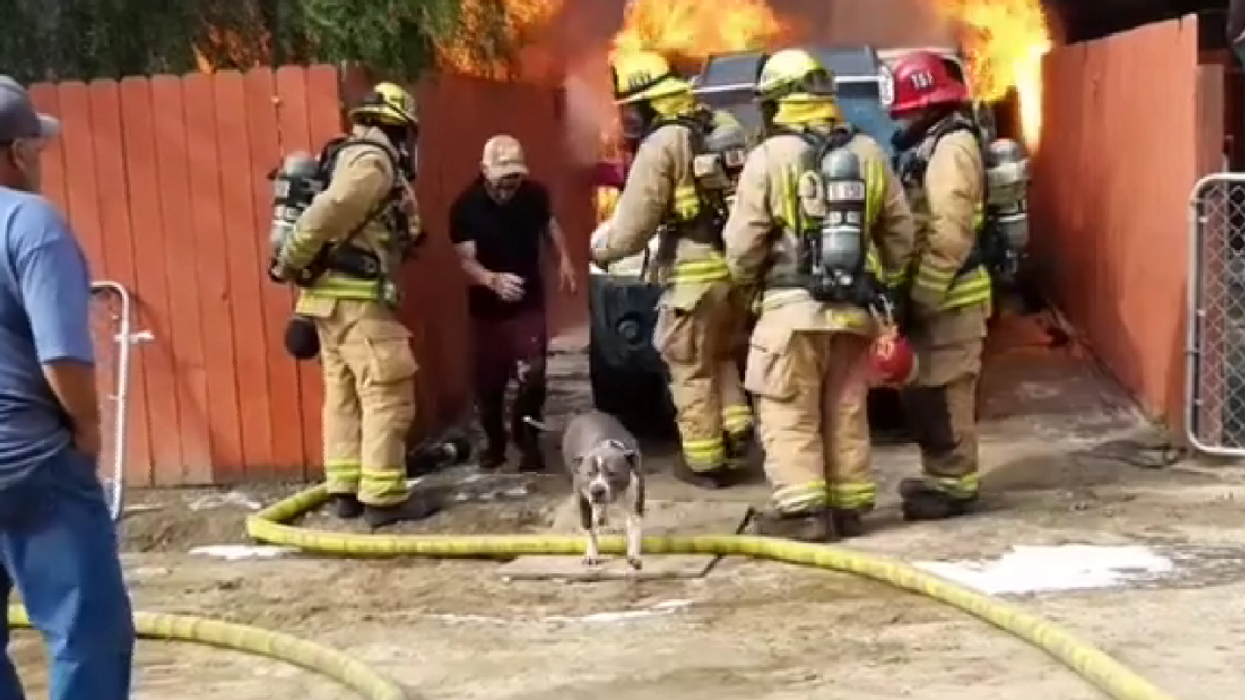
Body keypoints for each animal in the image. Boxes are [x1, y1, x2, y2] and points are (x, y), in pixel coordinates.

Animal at [560, 408, 647, 567]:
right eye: (589, 473)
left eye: (612, 473)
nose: (597, 490)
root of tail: (586, 413)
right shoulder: (582, 499)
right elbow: (589, 528)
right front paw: (591, 554)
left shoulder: (635, 501)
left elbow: (634, 528)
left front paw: (634, 555)